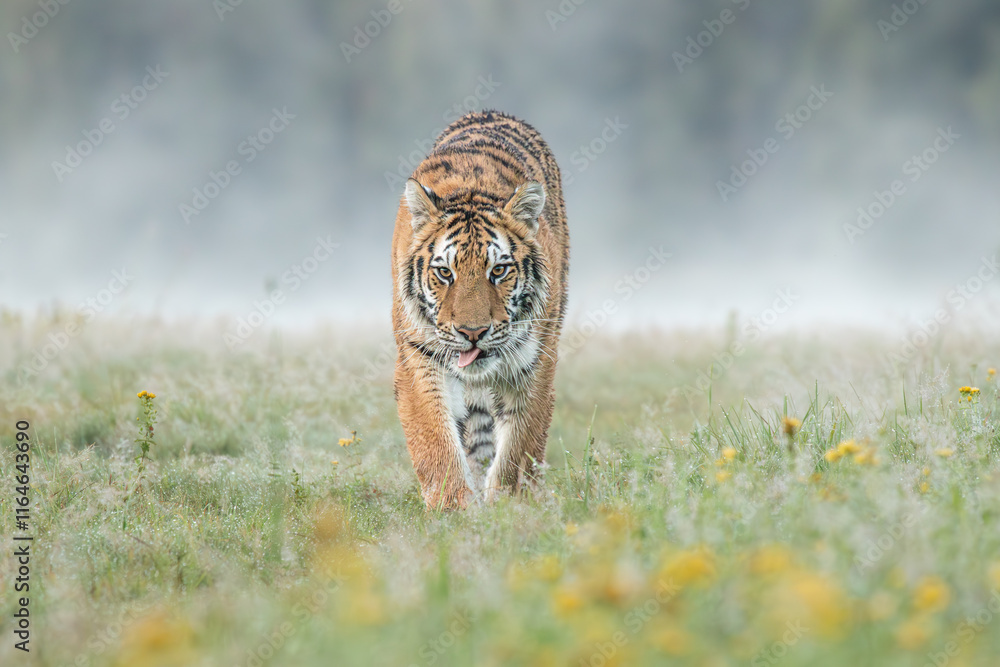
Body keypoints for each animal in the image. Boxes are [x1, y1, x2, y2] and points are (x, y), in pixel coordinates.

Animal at [390, 110, 569, 509]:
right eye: (445, 272)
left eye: (498, 270)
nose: (472, 334)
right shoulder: (419, 355)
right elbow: (436, 442)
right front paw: (455, 509)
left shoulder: (535, 364)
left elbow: (520, 444)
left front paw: (509, 505)